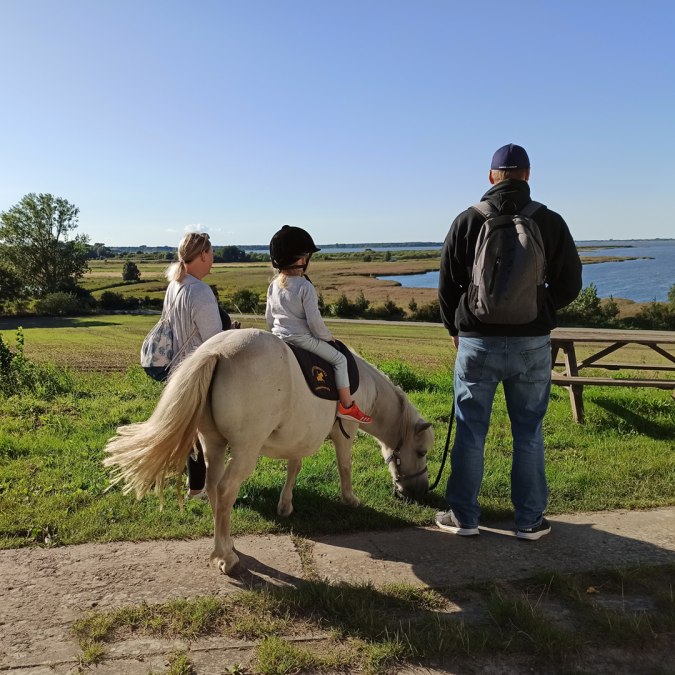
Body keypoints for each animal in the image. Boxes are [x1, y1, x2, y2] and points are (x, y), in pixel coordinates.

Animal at [104, 328, 433, 575]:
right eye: (421, 452)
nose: (419, 493)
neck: (363, 385)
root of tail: (215, 352)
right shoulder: (346, 432)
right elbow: (344, 466)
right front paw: (351, 500)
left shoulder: (299, 435)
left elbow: (294, 467)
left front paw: (285, 506)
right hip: (245, 450)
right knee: (225, 490)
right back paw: (226, 557)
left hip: (214, 443)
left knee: (213, 487)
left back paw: (226, 545)